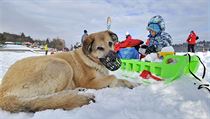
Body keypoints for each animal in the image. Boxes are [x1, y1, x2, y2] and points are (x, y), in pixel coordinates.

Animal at [0, 30, 138, 112]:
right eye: (99, 48)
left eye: (110, 43)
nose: (115, 58)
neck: (91, 60)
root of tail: (3, 93)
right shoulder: (90, 82)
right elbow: (114, 78)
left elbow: (122, 80)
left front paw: (134, 84)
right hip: (62, 65)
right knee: (51, 97)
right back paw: (78, 95)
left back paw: (79, 91)